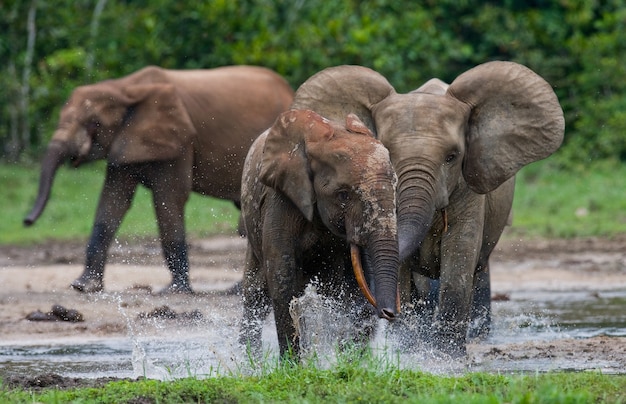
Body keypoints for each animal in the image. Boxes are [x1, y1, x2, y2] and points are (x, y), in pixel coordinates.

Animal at [25, 65, 294, 294]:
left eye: (94, 123)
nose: (27, 221)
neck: (124, 88)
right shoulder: (125, 139)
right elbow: (113, 201)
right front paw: (83, 286)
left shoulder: (180, 139)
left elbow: (168, 198)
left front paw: (174, 291)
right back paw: (237, 290)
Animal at [290, 60, 564, 356]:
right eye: (385, 153)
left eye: (452, 157)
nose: (385, 313)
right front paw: (406, 350)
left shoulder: (467, 188)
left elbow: (459, 257)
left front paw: (447, 356)